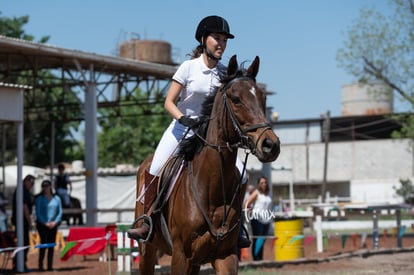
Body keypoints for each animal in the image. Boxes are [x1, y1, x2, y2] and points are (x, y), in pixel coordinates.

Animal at [133, 55, 282, 274]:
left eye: (263, 98)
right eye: (236, 99)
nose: (271, 145)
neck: (211, 187)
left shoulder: (225, 256)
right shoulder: (180, 255)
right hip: (147, 250)